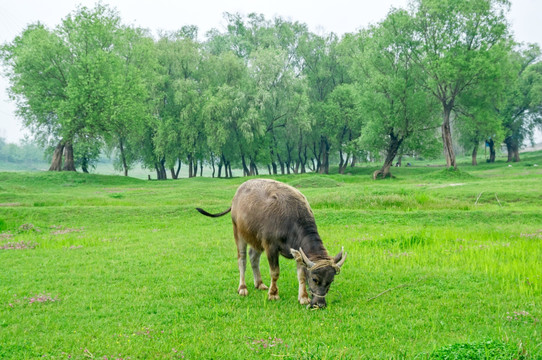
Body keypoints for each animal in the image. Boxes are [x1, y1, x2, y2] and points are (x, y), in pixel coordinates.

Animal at [197, 179, 348, 308]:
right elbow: (275, 272)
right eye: (315, 279)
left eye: (331, 281)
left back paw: (259, 284)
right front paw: (273, 294)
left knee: (253, 258)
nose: (320, 304)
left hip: (256, 239)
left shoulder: (298, 252)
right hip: (238, 232)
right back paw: (243, 288)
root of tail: (236, 196)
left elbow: (301, 275)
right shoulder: (271, 247)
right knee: (242, 259)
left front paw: (303, 297)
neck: (291, 222)